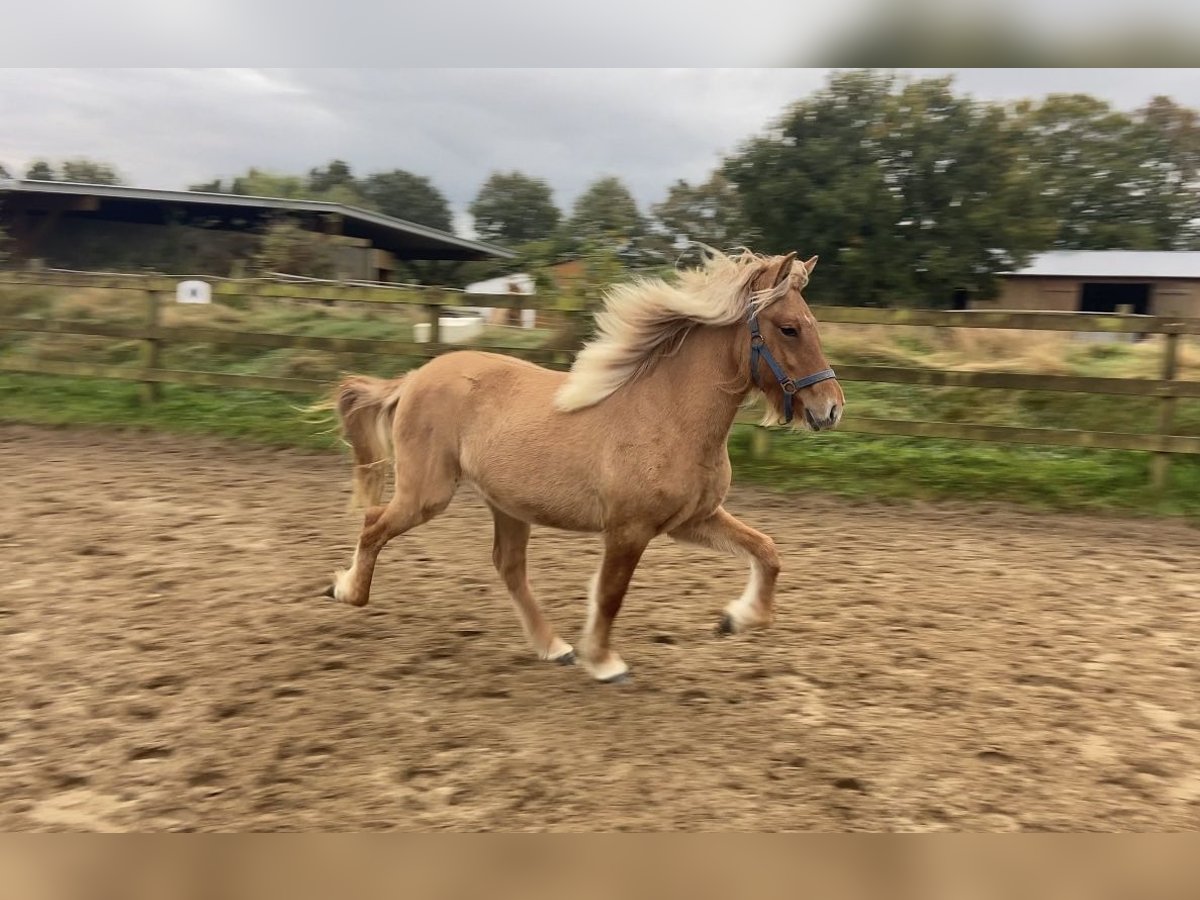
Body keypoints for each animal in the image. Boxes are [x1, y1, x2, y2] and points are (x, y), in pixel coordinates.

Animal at [319, 248, 844, 681]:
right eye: (789, 328)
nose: (832, 409)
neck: (669, 414)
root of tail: (412, 379)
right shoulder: (629, 530)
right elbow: (610, 594)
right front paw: (605, 662)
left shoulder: (692, 520)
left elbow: (767, 551)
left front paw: (736, 619)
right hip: (428, 494)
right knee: (374, 523)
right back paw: (345, 591)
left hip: (507, 504)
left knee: (508, 566)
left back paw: (554, 647)